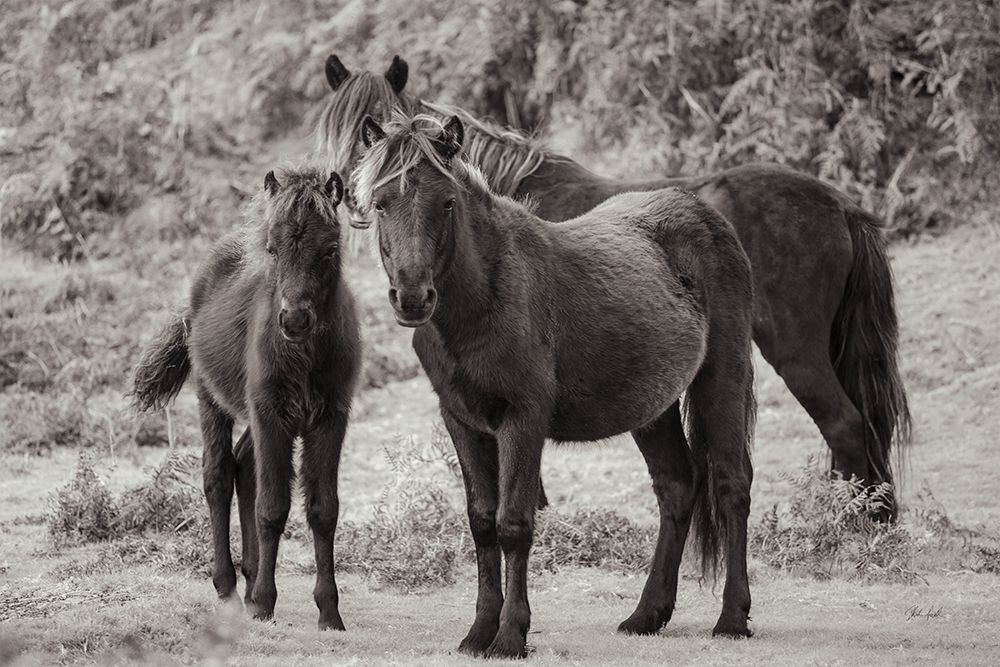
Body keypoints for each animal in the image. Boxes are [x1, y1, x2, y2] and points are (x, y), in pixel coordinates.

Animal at [131, 166, 360, 630]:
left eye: (330, 249)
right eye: (272, 249)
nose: (294, 320)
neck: (304, 354)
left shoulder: (329, 418)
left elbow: (323, 510)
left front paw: (329, 612)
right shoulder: (271, 415)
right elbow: (272, 508)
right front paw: (264, 604)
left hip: (259, 414)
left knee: (243, 468)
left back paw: (250, 577)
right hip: (213, 398)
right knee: (218, 475)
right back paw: (229, 589)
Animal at [315, 54, 910, 517]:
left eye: (373, 127)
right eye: (337, 129)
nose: (354, 198)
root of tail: (841, 204)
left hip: (794, 352)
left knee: (845, 426)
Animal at [352, 110, 757, 657]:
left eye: (447, 202)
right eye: (380, 202)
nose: (412, 298)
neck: (485, 298)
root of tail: (703, 214)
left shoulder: (522, 421)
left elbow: (513, 525)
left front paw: (510, 636)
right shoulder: (462, 421)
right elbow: (482, 523)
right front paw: (478, 633)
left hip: (722, 379)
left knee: (732, 485)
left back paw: (732, 619)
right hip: (654, 410)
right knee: (676, 487)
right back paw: (646, 615)